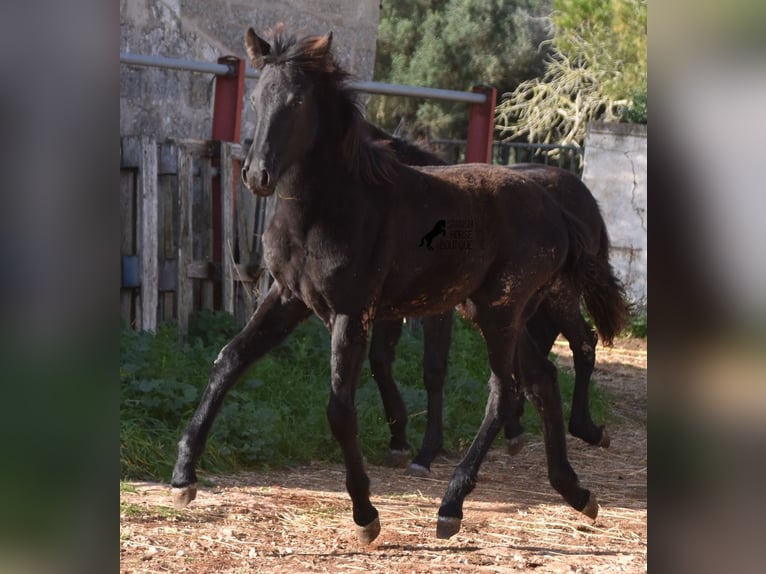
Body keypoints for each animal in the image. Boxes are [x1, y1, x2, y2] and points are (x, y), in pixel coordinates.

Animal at [172, 28, 632, 544]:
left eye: (297, 100)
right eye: (255, 98)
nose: (256, 175)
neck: (329, 208)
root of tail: (557, 209)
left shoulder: (352, 311)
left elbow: (340, 407)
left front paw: (366, 513)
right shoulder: (289, 298)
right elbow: (229, 361)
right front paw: (183, 477)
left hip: (499, 311)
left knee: (507, 390)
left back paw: (452, 505)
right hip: (501, 311)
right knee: (543, 380)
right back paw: (576, 491)